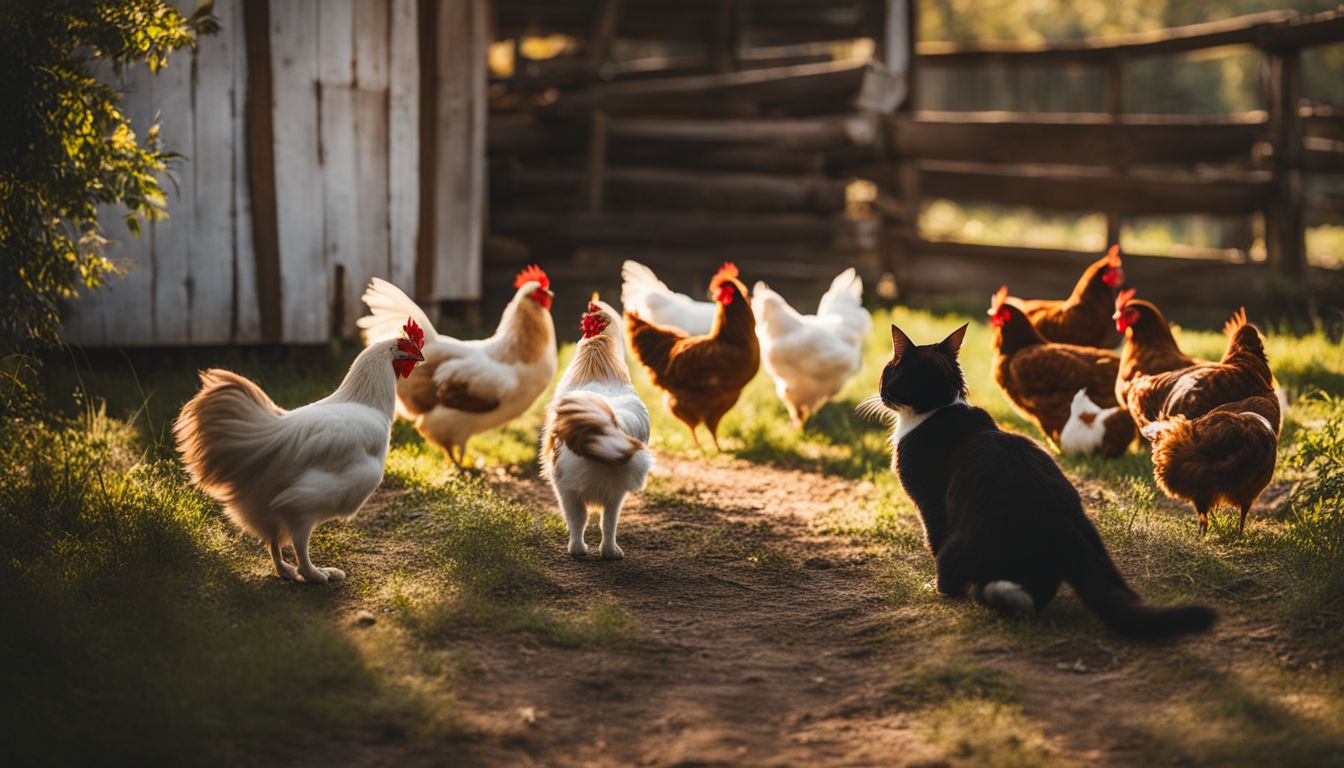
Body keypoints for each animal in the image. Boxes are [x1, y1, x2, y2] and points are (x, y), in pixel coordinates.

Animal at [860, 321, 1220, 640]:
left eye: (888, 371)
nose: (879, 391)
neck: (941, 408)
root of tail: (1061, 521)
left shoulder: (930, 504)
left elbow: (933, 540)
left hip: (960, 542)